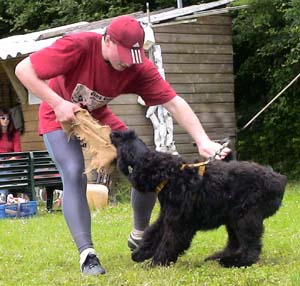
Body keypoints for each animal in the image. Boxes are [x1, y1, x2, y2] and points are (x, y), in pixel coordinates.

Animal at [109, 130, 286, 268]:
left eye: (122, 143)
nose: (113, 133)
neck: (167, 174)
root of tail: (279, 180)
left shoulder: (179, 224)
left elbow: (169, 242)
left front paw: (156, 262)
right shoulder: (167, 216)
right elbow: (153, 233)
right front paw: (140, 253)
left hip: (245, 217)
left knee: (250, 247)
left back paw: (233, 261)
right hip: (233, 219)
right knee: (235, 242)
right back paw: (219, 257)